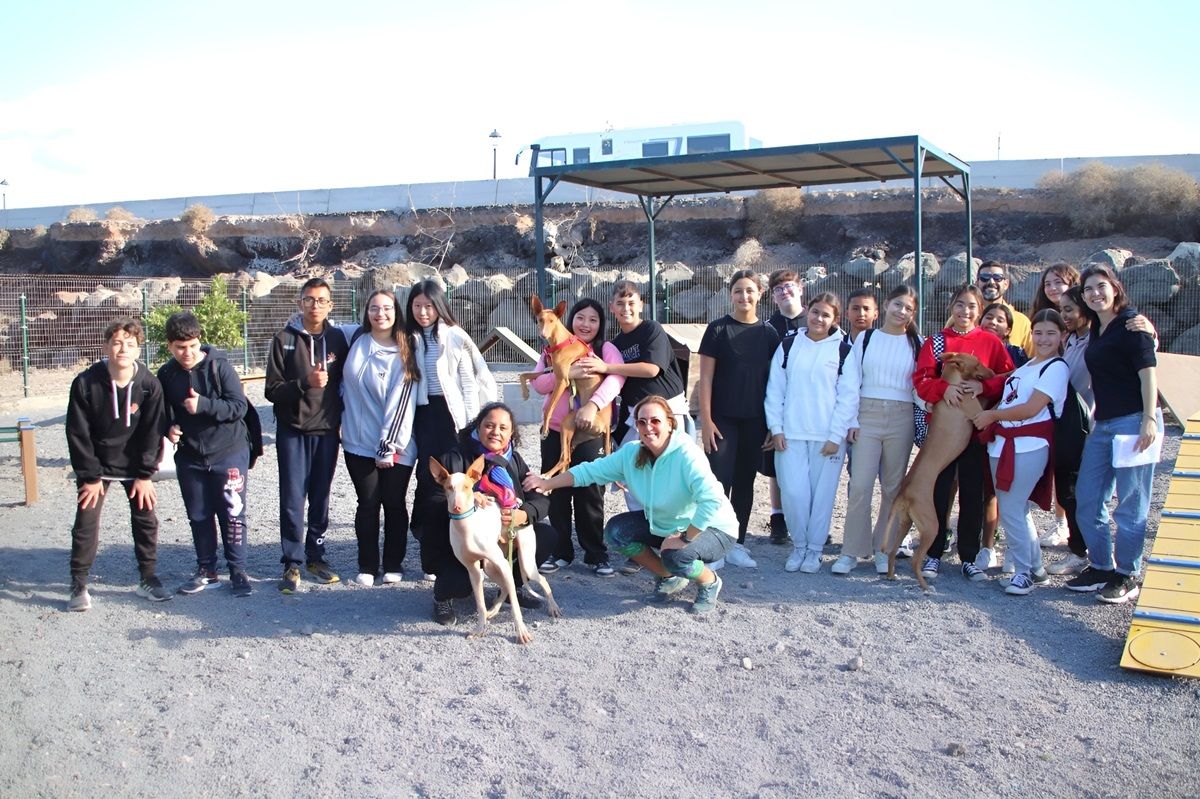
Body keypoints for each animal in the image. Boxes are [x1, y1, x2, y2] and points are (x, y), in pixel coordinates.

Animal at [432, 451, 561, 643]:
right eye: (448, 487)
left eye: (467, 487)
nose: (457, 507)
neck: (466, 528)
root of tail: (516, 503)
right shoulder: (473, 571)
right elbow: (480, 606)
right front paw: (480, 629)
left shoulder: (503, 566)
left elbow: (515, 607)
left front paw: (521, 632)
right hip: (490, 567)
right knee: (506, 588)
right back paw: (492, 611)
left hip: (524, 563)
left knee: (540, 581)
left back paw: (553, 607)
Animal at [516, 295, 609, 475]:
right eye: (540, 320)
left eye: (552, 321)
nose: (543, 335)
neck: (562, 342)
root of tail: (607, 426)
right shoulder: (550, 372)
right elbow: (523, 375)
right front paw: (524, 393)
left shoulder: (562, 381)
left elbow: (548, 409)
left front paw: (545, 430)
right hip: (574, 436)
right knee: (566, 459)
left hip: (568, 422)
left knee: (565, 458)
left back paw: (546, 476)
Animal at [888, 352, 998, 587]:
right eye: (978, 364)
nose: (993, 373)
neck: (954, 384)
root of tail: (904, 492)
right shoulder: (979, 413)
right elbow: (992, 407)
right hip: (931, 525)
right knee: (915, 561)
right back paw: (925, 585)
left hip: (906, 523)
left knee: (891, 551)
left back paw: (891, 575)